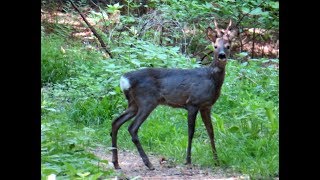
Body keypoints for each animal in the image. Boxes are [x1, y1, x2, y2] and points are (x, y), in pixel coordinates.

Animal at [110, 19, 238, 170]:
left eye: (228, 46)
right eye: (215, 46)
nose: (221, 55)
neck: (211, 79)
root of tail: (125, 79)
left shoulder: (206, 106)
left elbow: (211, 132)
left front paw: (217, 161)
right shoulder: (193, 103)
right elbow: (191, 132)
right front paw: (188, 160)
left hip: (134, 103)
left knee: (116, 122)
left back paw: (116, 163)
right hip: (147, 101)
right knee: (132, 128)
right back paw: (148, 163)